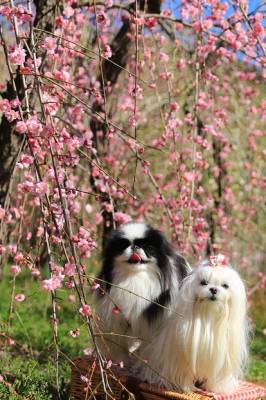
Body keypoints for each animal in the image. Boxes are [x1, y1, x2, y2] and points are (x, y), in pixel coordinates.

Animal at [95, 220, 191, 364]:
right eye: (123, 246)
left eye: (148, 247)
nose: (134, 246)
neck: (134, 278)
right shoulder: (118, 322)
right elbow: (121, 348)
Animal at [136, 260, 248, 394]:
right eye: (204, 282)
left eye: (225, 286)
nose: (213, 289)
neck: (209, 314)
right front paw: (186, 387)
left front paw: (217, 388)